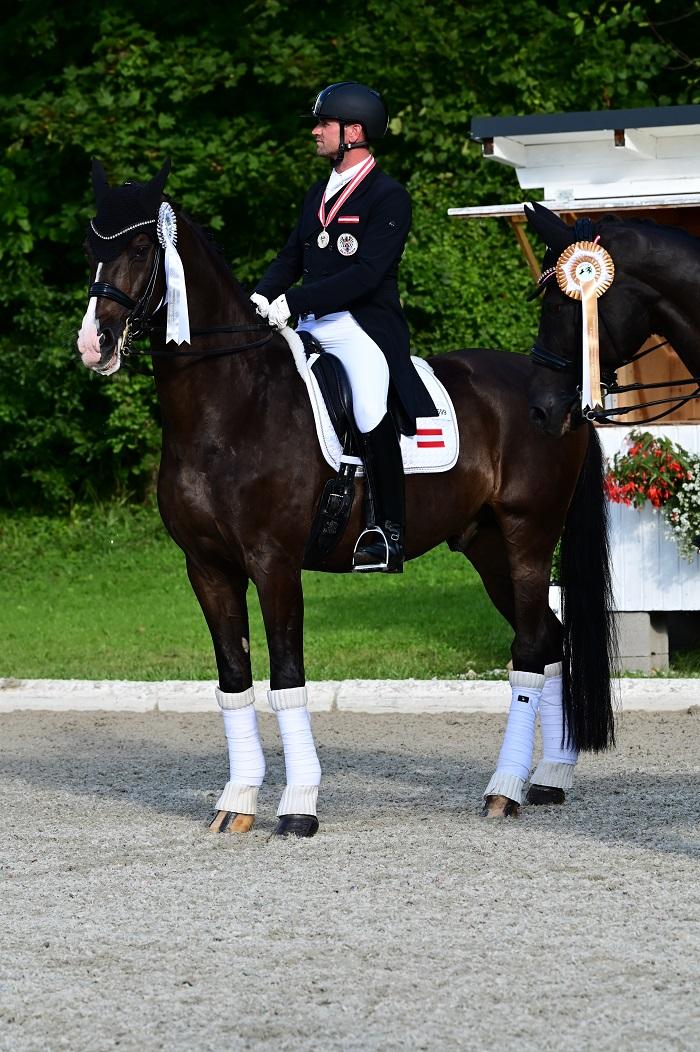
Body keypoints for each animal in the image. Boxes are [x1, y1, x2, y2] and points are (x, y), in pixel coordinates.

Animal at [76, 166, 610, 837]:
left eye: (144, 248)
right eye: (91, 247)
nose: (94, 344)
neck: (229, 405)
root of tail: (560, 399)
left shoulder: (274, 564)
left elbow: (286, 676)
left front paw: (298, 806)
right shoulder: (207, 568)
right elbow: (234, 678)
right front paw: (237, 802)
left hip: (529, 539)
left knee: (531, 650)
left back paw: (505, 789)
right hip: (488, 550)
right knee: (551, 642)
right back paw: (547, 780)